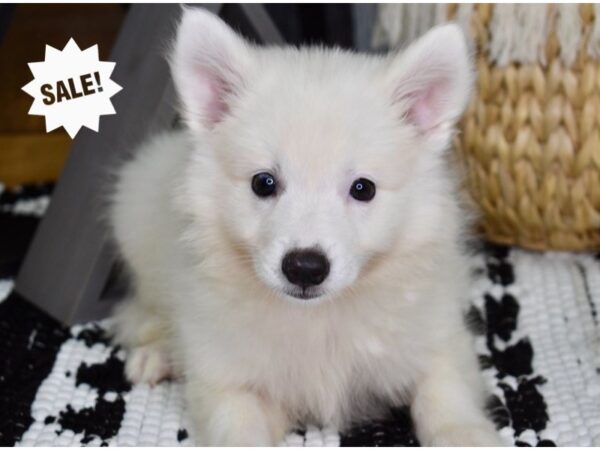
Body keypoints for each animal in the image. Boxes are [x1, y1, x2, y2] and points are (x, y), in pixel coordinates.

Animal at [110, 7, 504, 446]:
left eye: (363, 189)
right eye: (263, 183)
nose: (305, 268)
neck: (319, 317)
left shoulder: (440, 339)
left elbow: (445, 392)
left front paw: (465, 435)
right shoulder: (225, 379)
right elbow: (238, 428)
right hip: (136, 222)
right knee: (142, 311)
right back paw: (155, 353)